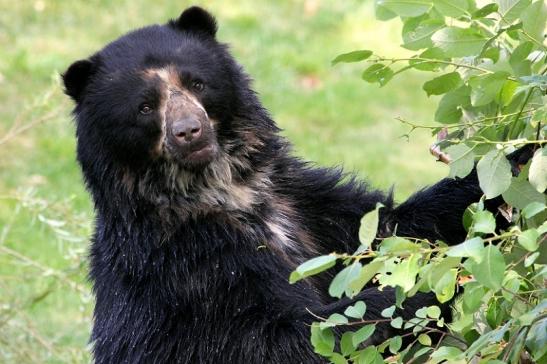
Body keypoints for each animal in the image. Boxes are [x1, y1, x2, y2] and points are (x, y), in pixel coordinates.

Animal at [62, 5, 504, 364]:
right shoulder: (186, 269)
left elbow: (392, 229)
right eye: (145, 107)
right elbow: (284, 338)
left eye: (197, 83)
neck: (224, 190)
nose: (189, 131)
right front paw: (417, 293)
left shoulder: (304, 201)